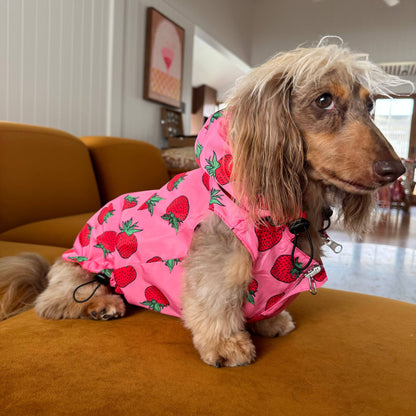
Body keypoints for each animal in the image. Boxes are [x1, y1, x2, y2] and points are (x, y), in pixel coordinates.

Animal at [0, 41, 410, 368]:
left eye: (370, 106)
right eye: (324, 100)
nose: (397, 170)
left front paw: (269, 320)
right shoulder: (220, 258)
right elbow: (217, 300)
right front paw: (227, 344)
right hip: (83, 268)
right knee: (51, 303)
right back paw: (101, 305)